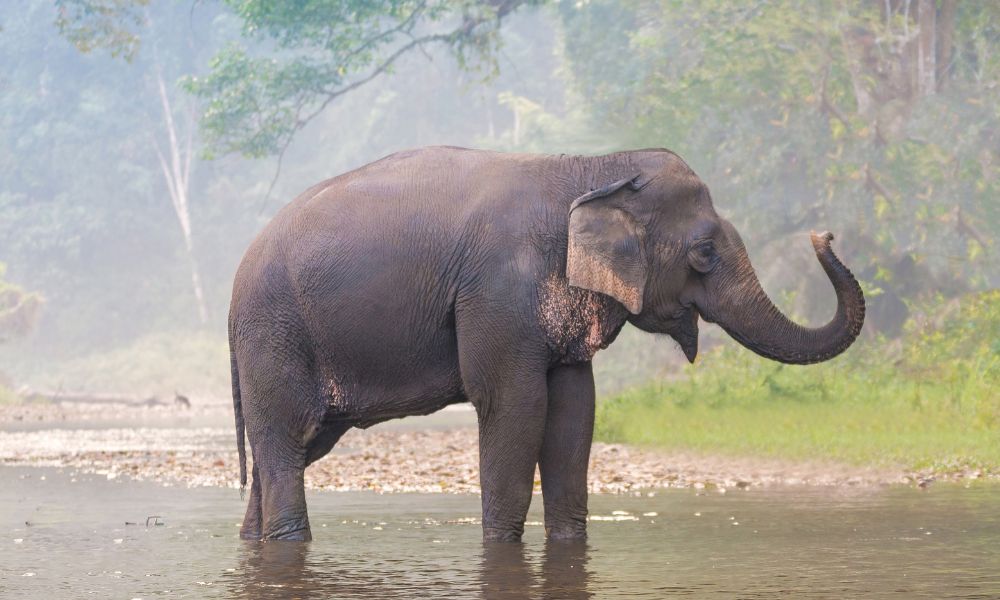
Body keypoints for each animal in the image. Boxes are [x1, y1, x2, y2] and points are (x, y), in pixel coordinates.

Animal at [229, 146, 865, 542]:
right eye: (704, 252)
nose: (825, 234)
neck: (591, 167)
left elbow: (574, 412)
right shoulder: (497, 290)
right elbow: (515, 405)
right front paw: (501, 548)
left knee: (293, 448)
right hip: (275, 334)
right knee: (286, 443)